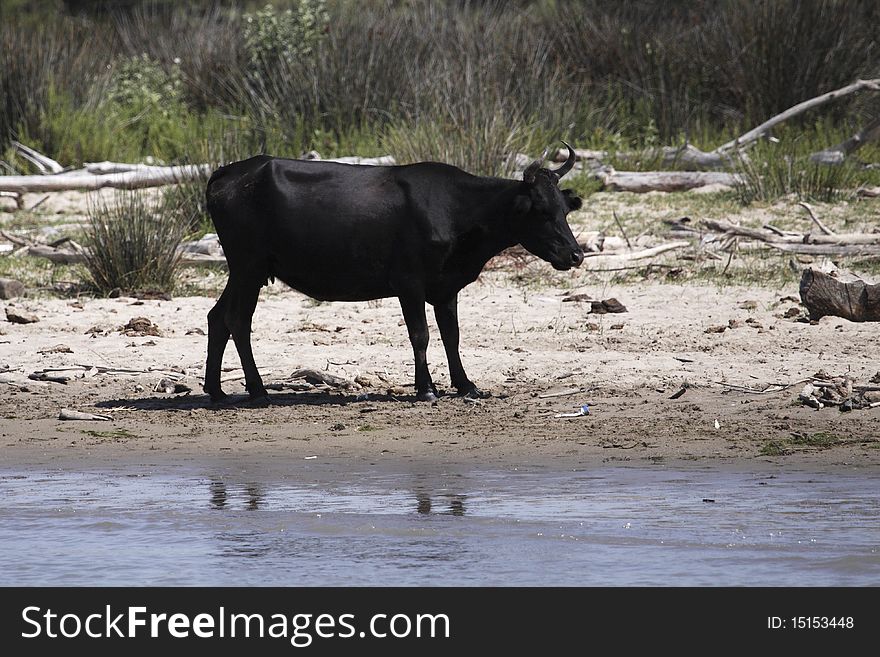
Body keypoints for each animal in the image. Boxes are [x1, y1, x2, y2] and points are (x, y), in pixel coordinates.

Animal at [203, 142, 580, 404]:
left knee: (217, 316)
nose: (575, 254)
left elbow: (452, 336)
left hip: (244, 270)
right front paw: (426, 389)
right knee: (237, 319)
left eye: (564, 209)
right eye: (541, 210)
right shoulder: (408, 281)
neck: (456, 210)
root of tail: (230, 170)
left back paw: (217, 391)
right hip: (249, 266)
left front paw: (466, 385)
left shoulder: (446, 286)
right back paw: (257, 390)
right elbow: (421, 335)